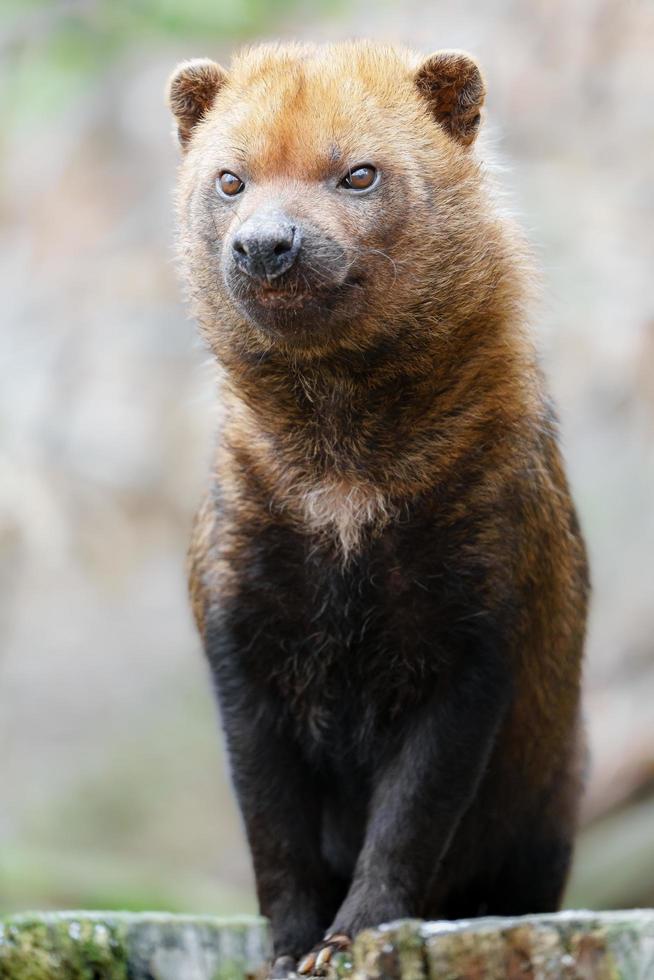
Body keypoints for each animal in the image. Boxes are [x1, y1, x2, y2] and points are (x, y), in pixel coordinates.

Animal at [168, 42, 588, 976]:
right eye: (229, 179)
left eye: (359, 172)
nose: (268, 244)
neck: (344, 500)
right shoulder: (238, 631)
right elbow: (271, 826)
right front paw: (289, 949)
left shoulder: (477, 633)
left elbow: (410, 820)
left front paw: (351, 938)